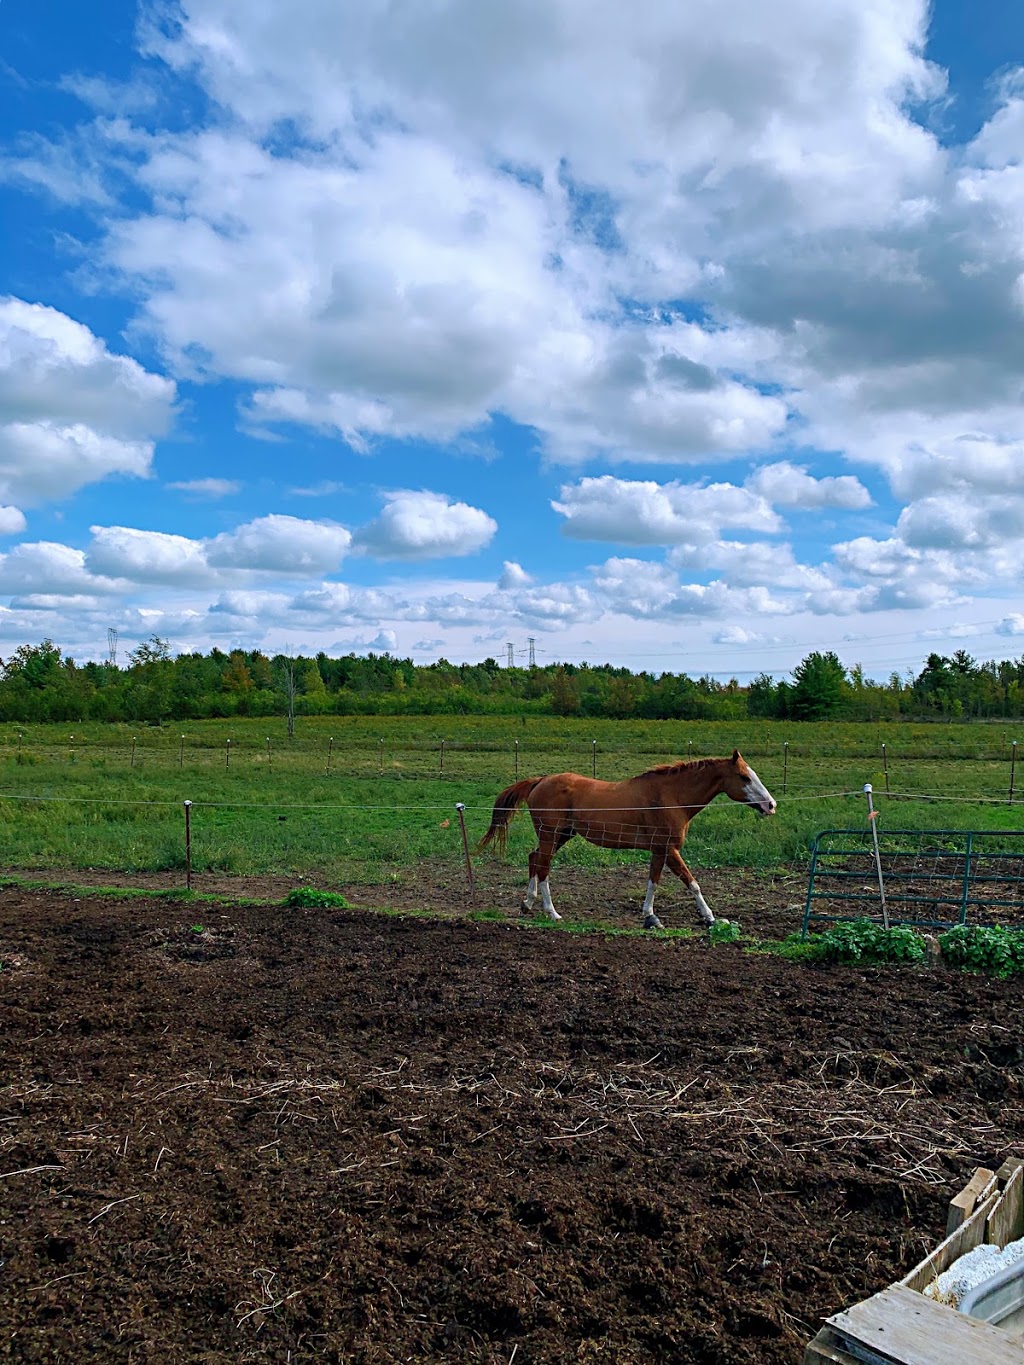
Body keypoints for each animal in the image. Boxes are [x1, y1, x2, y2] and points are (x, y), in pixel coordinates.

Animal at [480, 753, 775, 933]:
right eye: (744, 777)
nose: (771, 805)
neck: (671, 797)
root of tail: (540, 781)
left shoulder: (659, 850)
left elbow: (653, 882)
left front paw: (651, 917)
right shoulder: (669, 849)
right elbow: (692, 882)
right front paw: (711, 918)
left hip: (560, 836)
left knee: (534, 858)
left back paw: (527, 904)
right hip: (551, 835)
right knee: (543, 867)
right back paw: (552, 913)